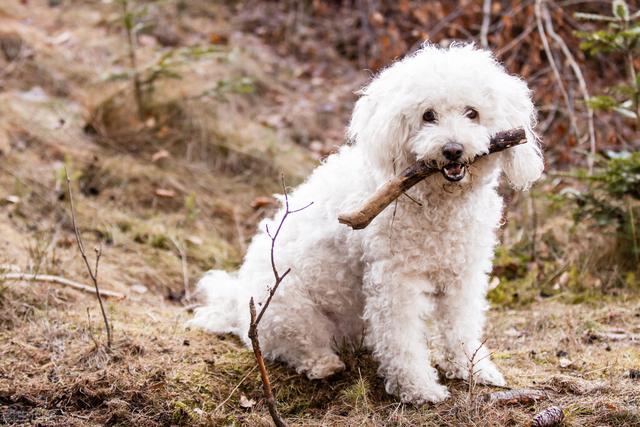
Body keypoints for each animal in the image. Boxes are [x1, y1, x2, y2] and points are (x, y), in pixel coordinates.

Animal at [188, 44, 544, 404]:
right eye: (428, 115)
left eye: (472, 113)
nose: (453, 150)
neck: (439, 204)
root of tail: (235, 301)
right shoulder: (395, 281)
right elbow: (402, 339)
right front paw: (418, 387)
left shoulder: (463, 274)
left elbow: (461, 325)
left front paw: (473, 369)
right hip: (286, 305)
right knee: (294, 345)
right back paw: (323, 364)